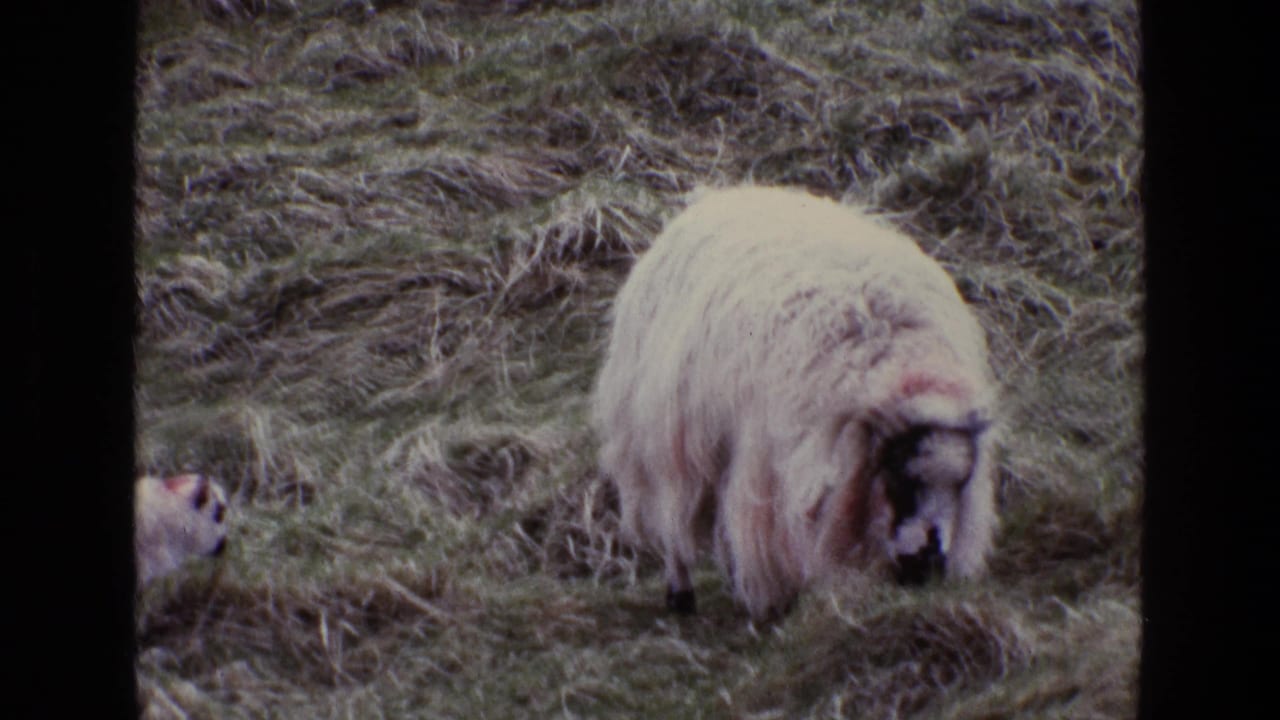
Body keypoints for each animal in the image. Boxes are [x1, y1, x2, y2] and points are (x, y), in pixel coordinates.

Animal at [592, 186, 999, 620]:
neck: (893, 356)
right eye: (902, 478)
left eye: (961, 484)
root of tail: (723, 194)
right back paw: (681, 592)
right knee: (675, 522)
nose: (927, 567)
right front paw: (769, 603)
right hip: (670, 440)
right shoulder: (767, 456)